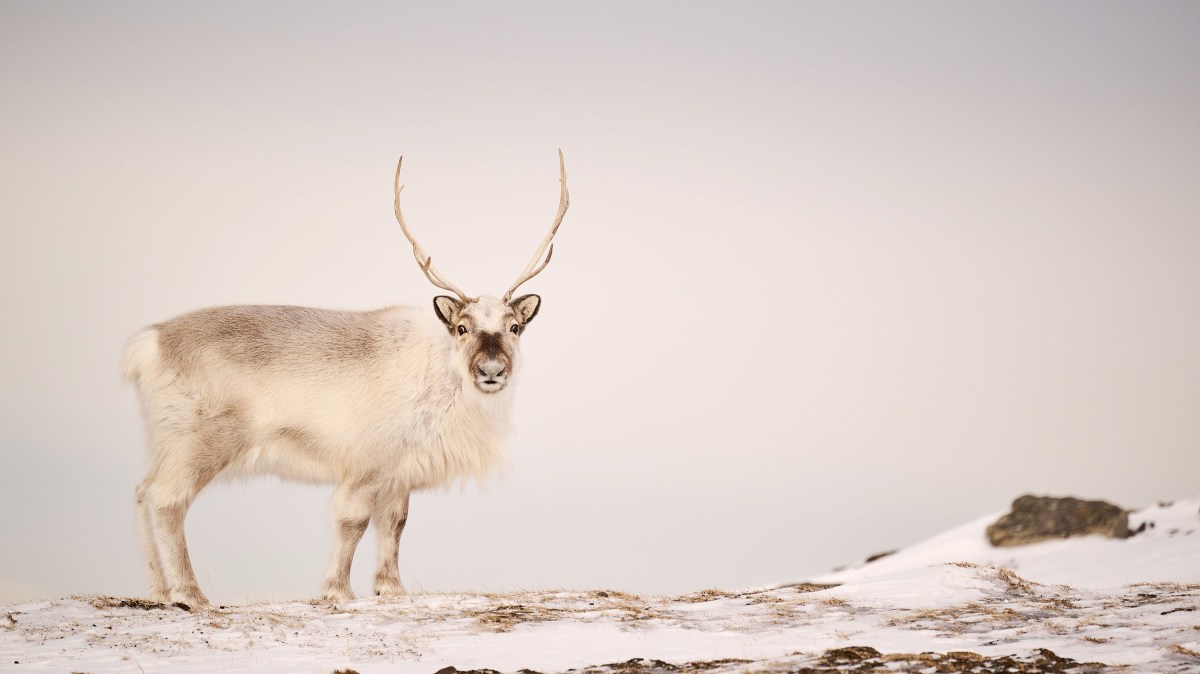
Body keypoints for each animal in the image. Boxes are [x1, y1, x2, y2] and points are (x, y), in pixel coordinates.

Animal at [121, 151, 569, 608]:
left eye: (514, 327)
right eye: (462, 328)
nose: (491, 370)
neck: (446, 383)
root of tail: (148, 344)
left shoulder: (399, 471)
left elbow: (395, 524)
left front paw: (390, 588)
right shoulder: (368, 464)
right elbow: (353, 522)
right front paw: (337, 589)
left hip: (166, 440)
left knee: (142, 491)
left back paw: (158, 590)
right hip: (201, 440)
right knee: (166, 500)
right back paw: (189, 593)